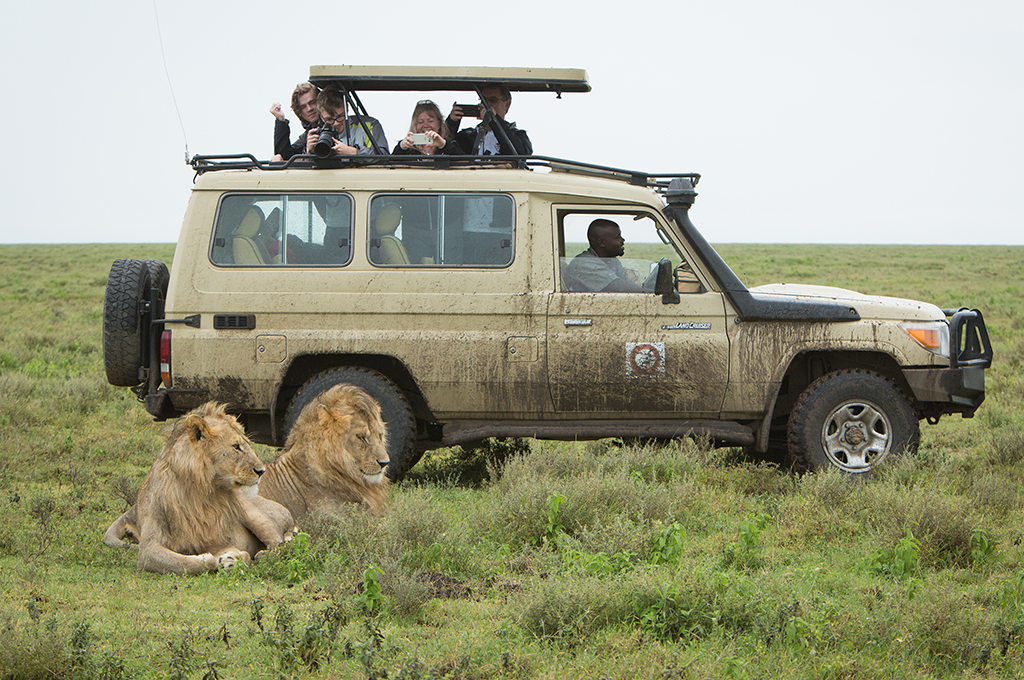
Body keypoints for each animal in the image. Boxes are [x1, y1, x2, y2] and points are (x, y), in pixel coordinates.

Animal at [101, 403, 296, 573]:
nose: (261, 471)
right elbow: (184, 563)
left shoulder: (217, 538)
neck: (201, 492)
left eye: (247, 444)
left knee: (279, 546)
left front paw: (231, 559)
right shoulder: (148, 549)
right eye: (236, 447)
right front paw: (219, 559)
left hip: (255, 514)